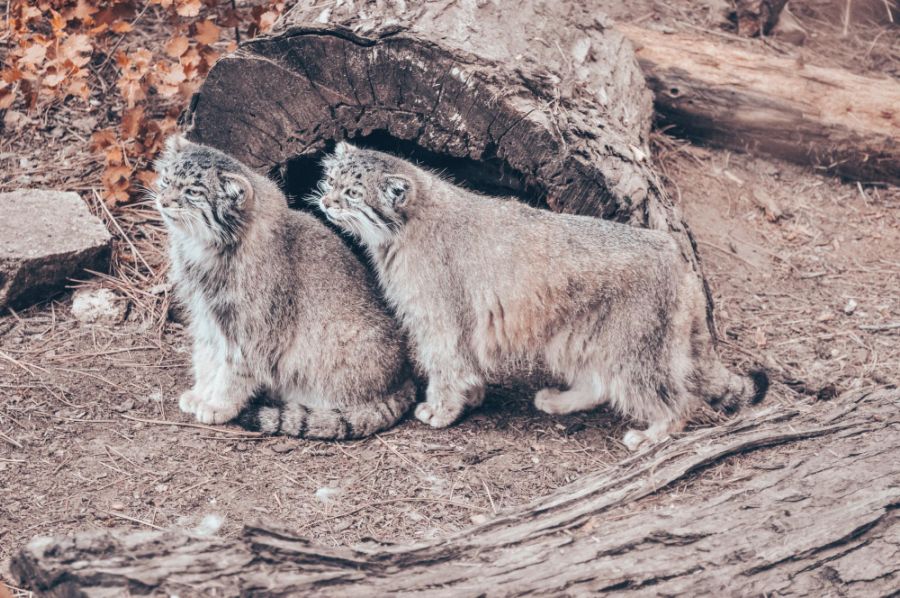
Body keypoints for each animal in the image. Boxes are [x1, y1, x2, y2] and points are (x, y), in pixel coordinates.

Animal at [156, 137, 418, 440]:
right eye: (165, 180)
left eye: (191, 192)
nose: (162, 200)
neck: (204, 250)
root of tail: (405, 379)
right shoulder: (207, 316)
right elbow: (207, 356)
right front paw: (201, 392)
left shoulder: (253, 331)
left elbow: (234, 370)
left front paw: (218, 404)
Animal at [312, 142, 768, 450]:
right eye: (332, 181)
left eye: (353, 194)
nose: (327, 201)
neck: (403, 229)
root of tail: (677, 258)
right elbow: (466, 368)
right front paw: (470, 400)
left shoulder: (439, 323)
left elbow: (447, 369)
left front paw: (440, 409)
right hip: (578, 337)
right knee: (600, 383)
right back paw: (559, 401)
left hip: (635, 351)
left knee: (678, 400)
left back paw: (654, 435)